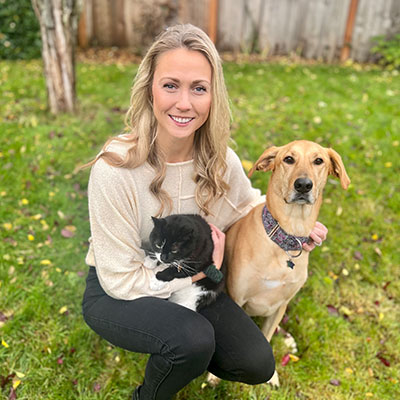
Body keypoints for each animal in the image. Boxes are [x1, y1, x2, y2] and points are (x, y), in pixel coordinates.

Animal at [222, 141, 350, 388]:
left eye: (318, 161)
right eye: (289, 159)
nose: (303, 185)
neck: (286, 237)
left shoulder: (281, 304)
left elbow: (267, 335)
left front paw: (271, 376)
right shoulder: (236, 298)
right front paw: (213, 378)